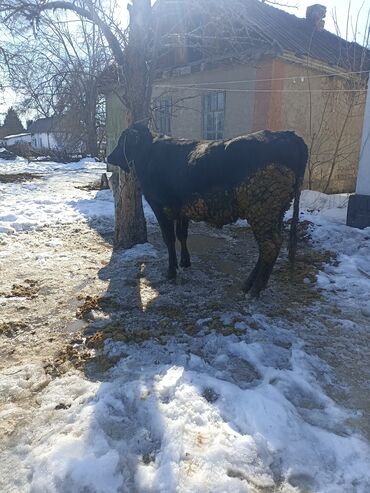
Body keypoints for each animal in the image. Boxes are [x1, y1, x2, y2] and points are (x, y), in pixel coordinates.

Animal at [107, 123, 310, 296]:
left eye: (122, 140)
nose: (109, 157)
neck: (149, 154)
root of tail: (290, 135)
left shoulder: (160, 206)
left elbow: (169, 239)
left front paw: (171, 271)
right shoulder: (182, 209)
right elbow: (182, 234)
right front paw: (185, 262)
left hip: (262, 209)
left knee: (270, 245)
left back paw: (256, 288)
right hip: (275, 212)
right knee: (270, 244)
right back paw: (249, 283)